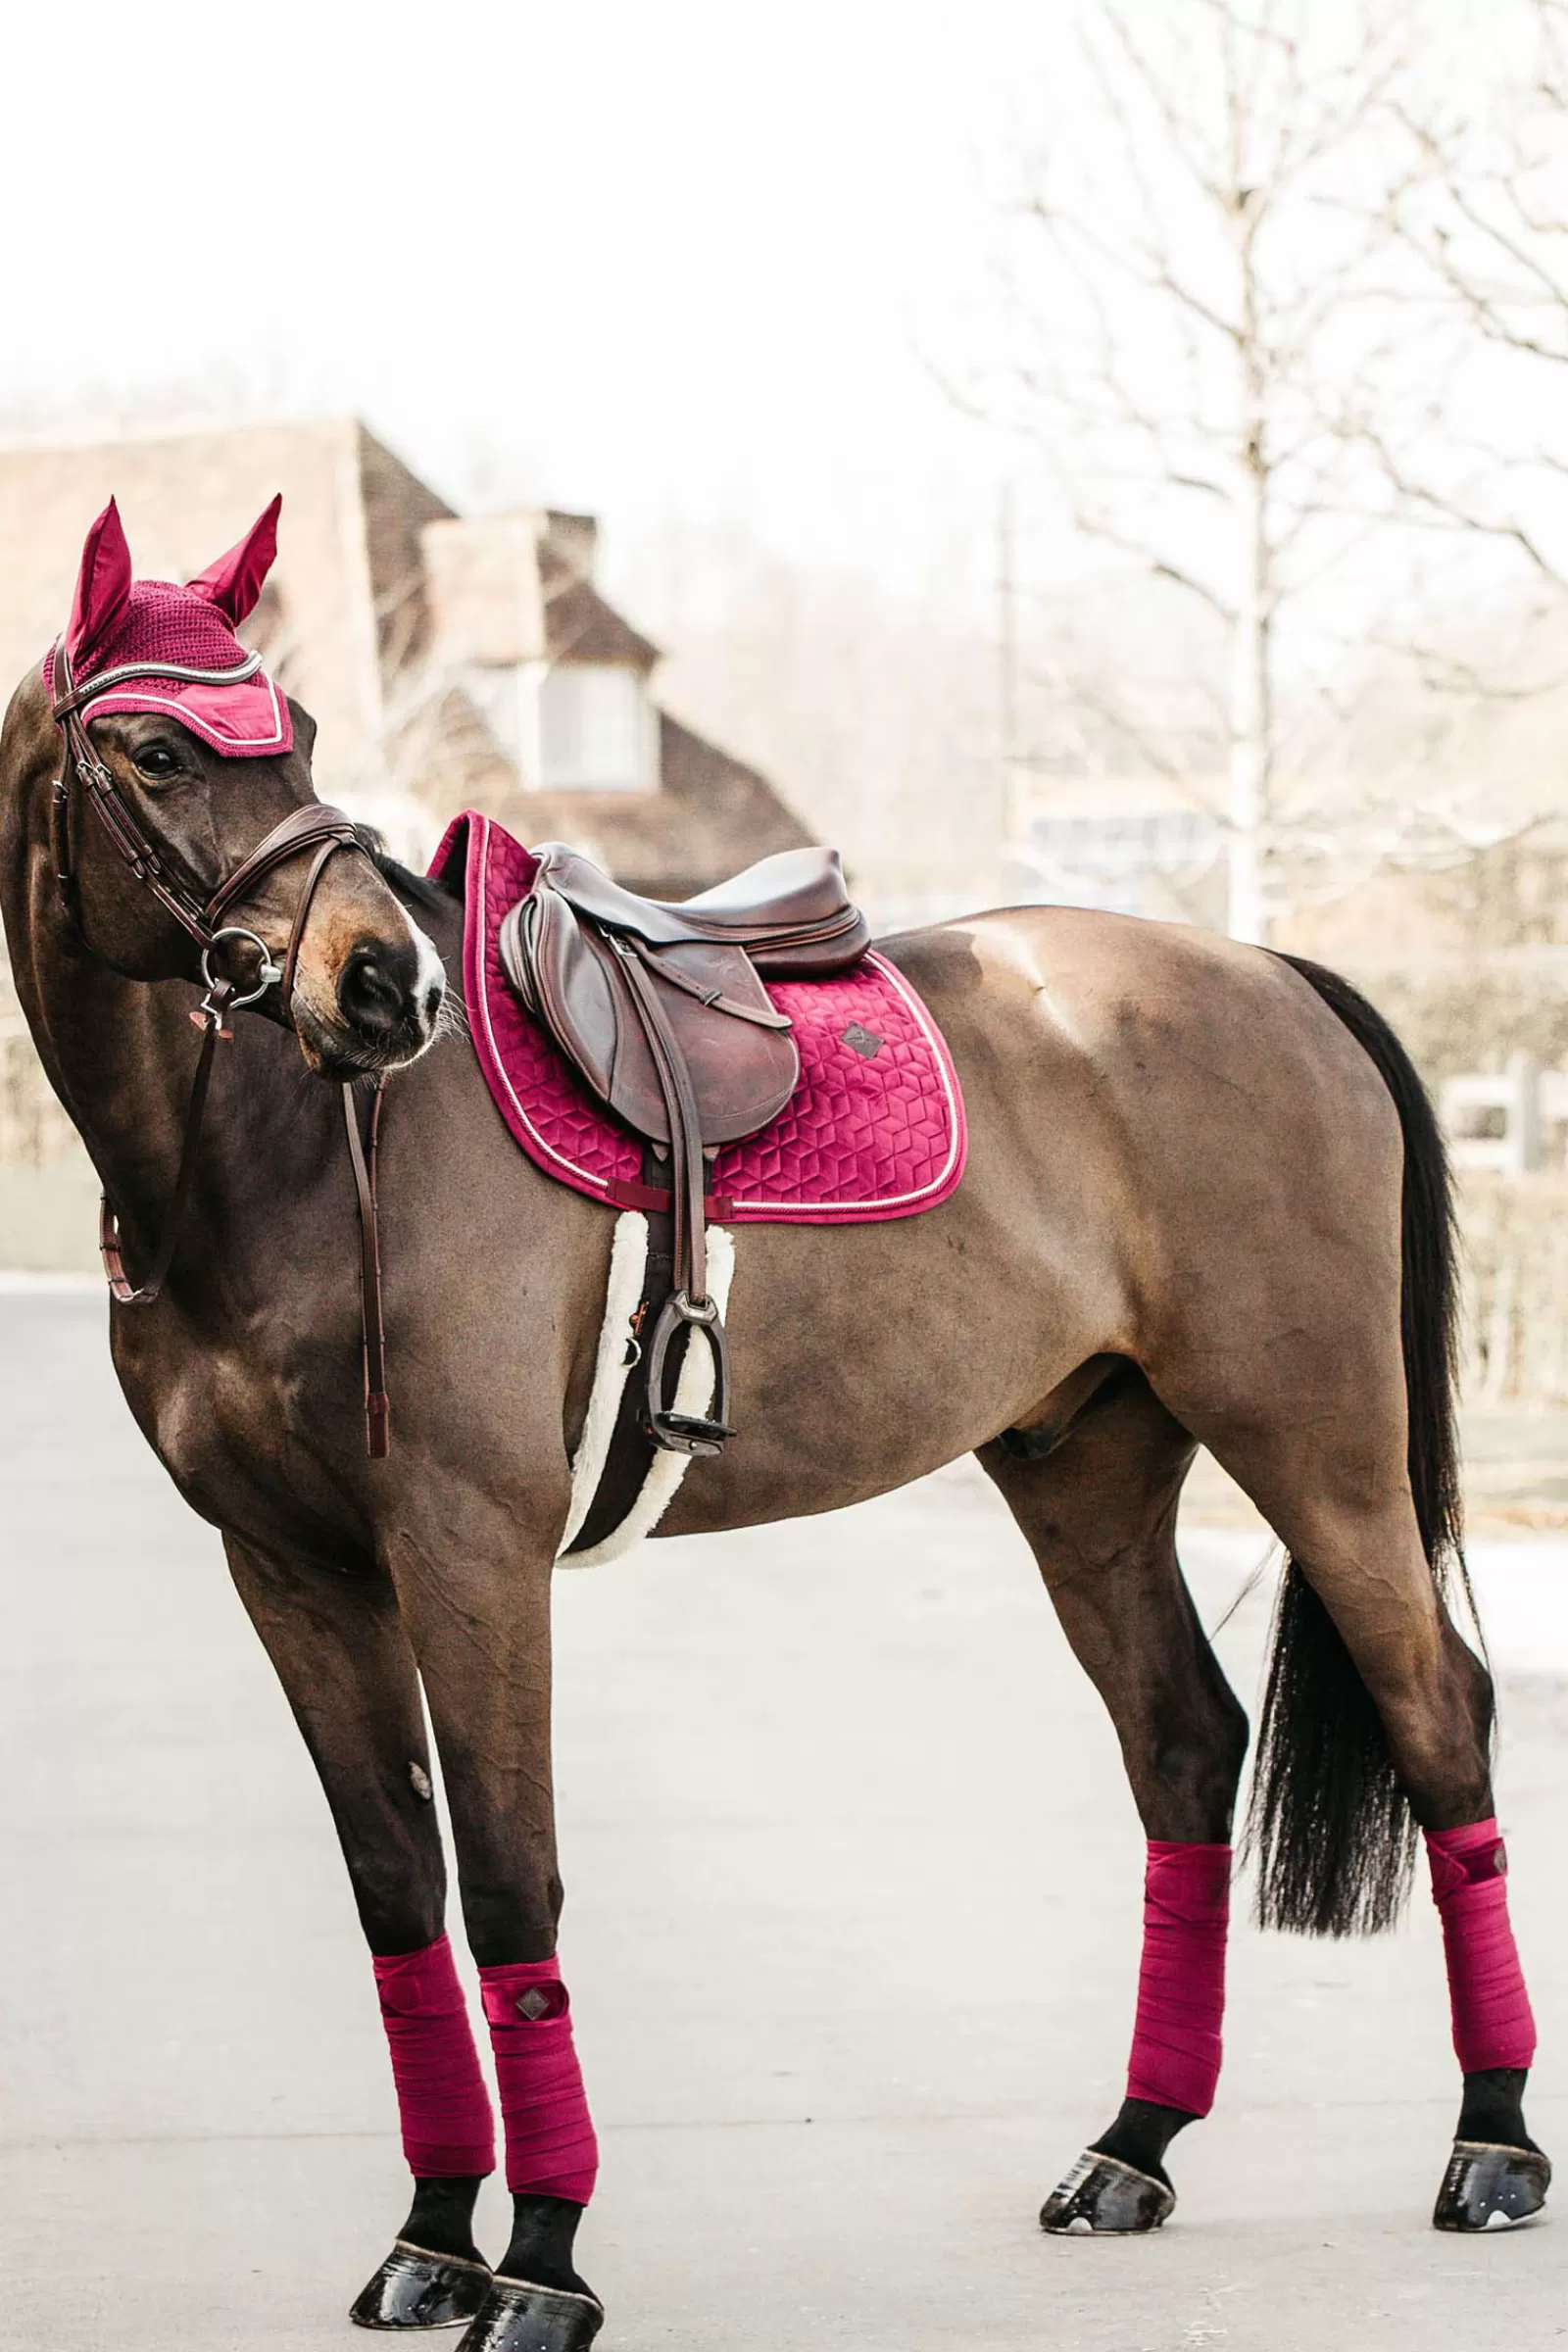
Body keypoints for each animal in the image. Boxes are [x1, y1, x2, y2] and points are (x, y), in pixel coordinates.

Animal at [0, 506, 1542, 2342]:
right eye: (160, 749)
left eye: (290, 734)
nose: (383, 989)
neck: (282, 1153)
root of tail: (1275, 974)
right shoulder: (291, 1571)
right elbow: (398, 1891)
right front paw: (435, 2238)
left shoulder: (466, 1551)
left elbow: (511, 1879)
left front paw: (542, 2260)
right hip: (1087, 1470)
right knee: (1181, 1745)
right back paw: (1132, 2148)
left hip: (1319, 1450)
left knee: (1441, 1717)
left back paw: (1493, 2144)